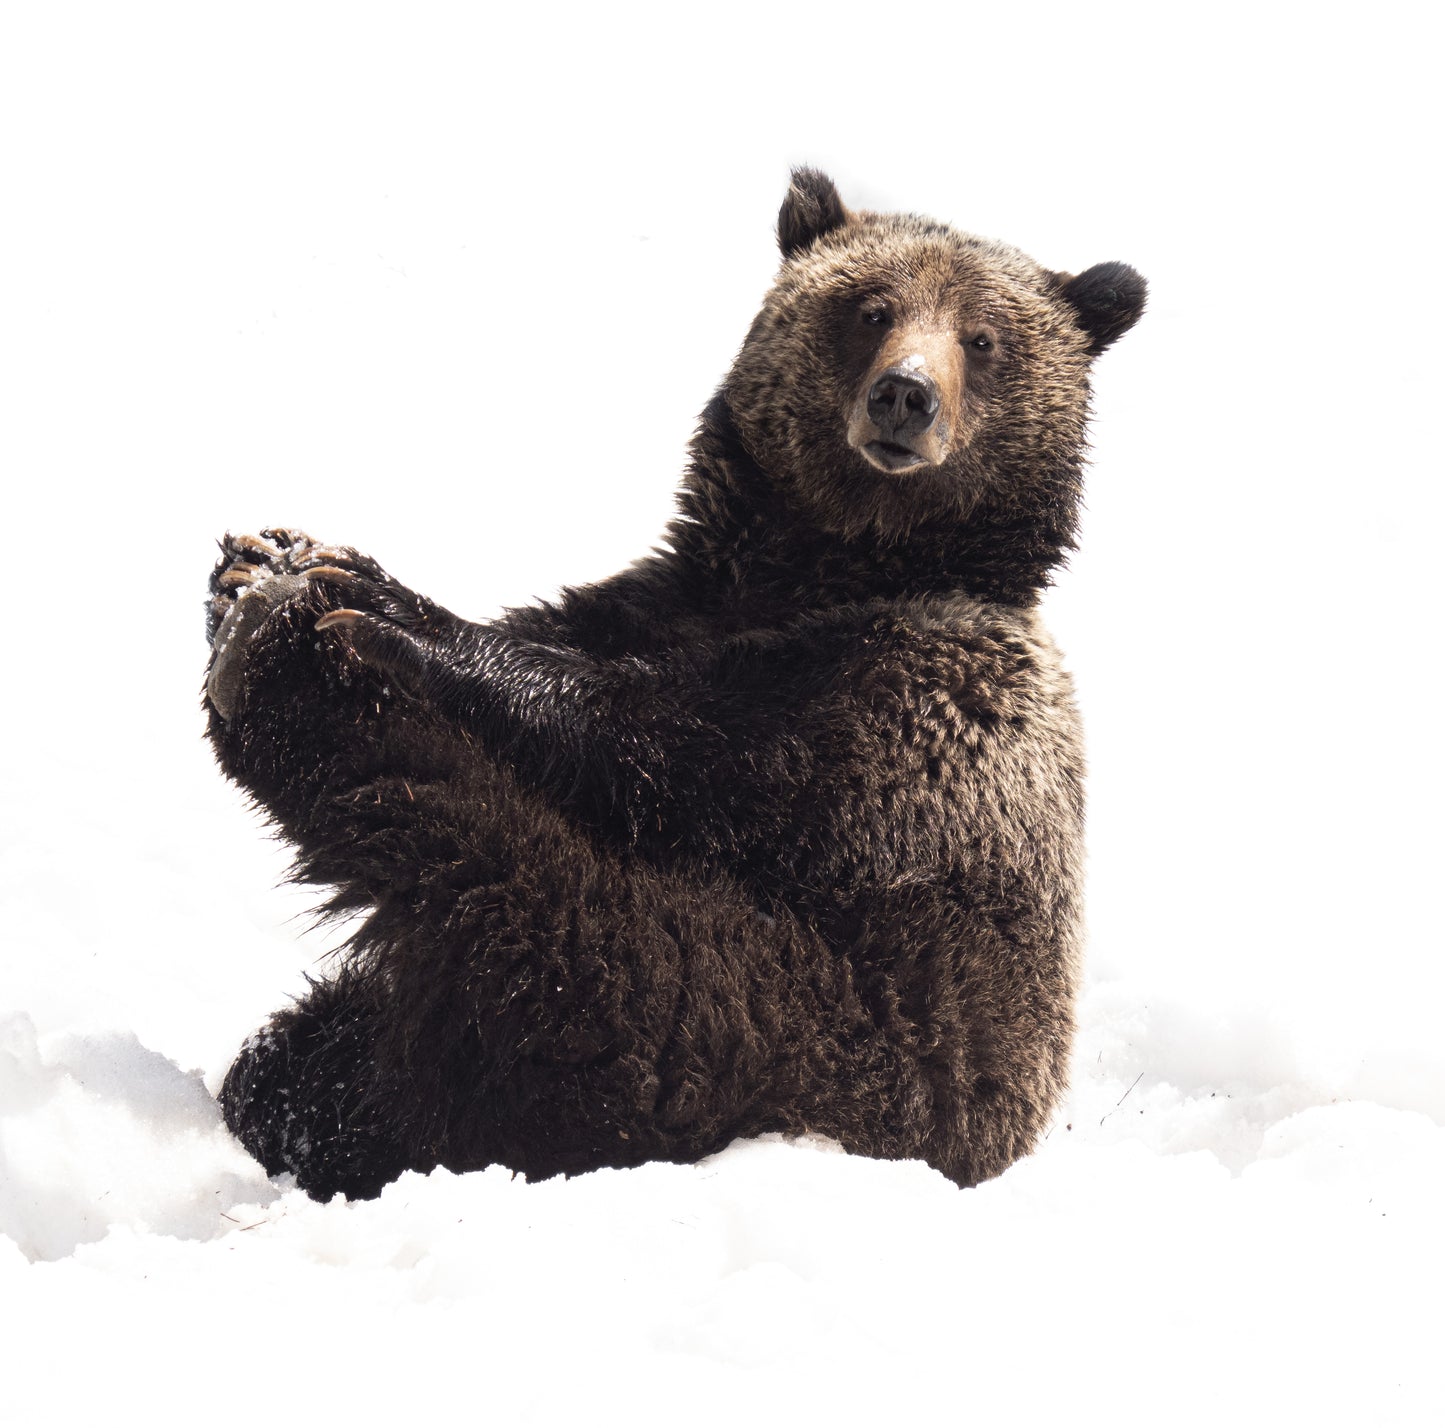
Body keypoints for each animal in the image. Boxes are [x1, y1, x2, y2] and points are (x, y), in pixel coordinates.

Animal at [205, 169, 1145, 1201]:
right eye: (869, 308)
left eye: (982, 339)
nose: (905, 396)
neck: (823, 572)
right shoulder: (660, 604)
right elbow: (583, 651)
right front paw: (258, 559)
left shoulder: (909, 710)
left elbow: (669, 742)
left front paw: (390, 607)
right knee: (328, 1051)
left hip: (805, 1028)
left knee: (521, 906)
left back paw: (291, 671)